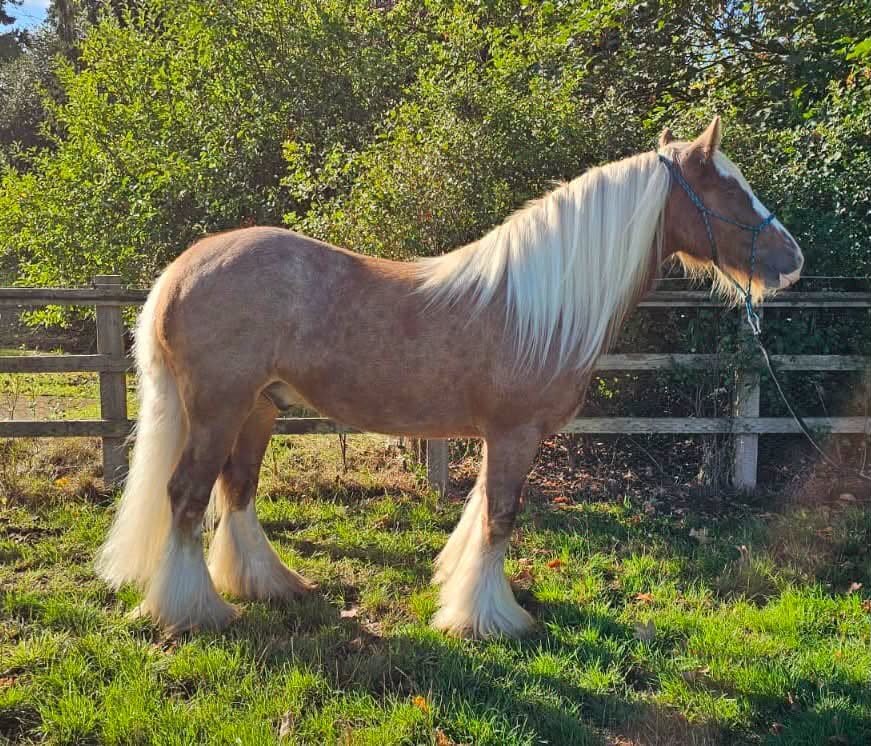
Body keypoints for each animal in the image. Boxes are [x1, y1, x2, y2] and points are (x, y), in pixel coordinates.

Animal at [95, 117, 803, 638]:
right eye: (731, 192)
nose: (792, 259)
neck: (541, 304)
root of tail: (183, 268)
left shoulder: (500, 438)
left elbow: (481, 510)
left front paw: (462, 593)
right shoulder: (515, 434)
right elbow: (500, 516)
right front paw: (489, 619)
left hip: (260, 407)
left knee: (236, 489)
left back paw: (268, 585)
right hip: (219, 407)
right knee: (187, 494)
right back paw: (192, 611)